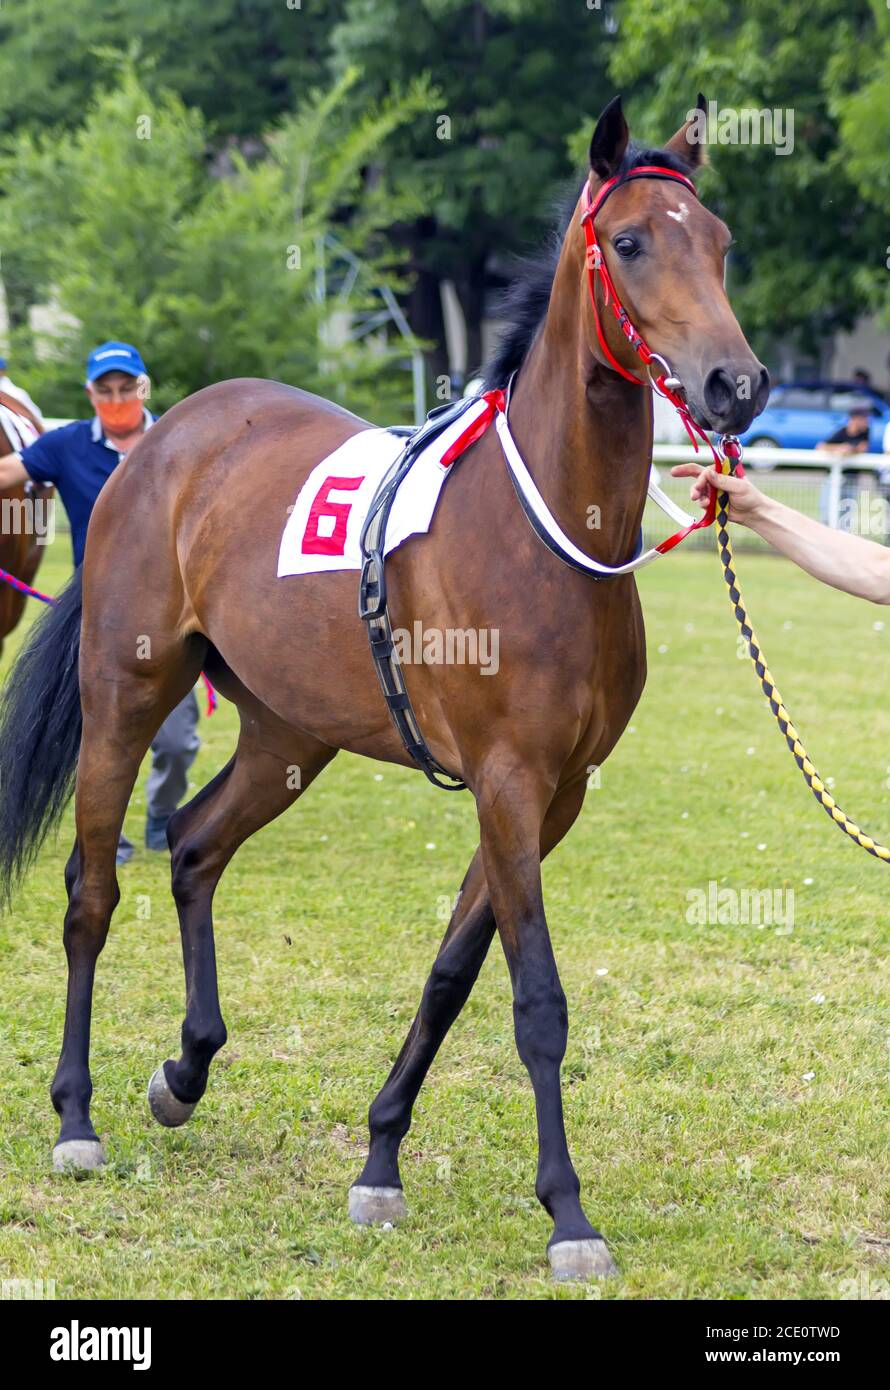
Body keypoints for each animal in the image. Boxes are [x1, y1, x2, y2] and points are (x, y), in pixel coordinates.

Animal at [0, 100, 767, 1278]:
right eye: (633, 241)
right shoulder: (506, 781)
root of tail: (158, 446)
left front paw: (378, 1161)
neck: (546, 530)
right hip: (124, 701)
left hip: (289, 734)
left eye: (720, 242)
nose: (736, 384)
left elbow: (452, 977)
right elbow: (536, 999)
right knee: (93, 892)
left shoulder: (551, 797)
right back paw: (76, 1114)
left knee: (195, 848)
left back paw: (186, 1068)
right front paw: (568, 1214)